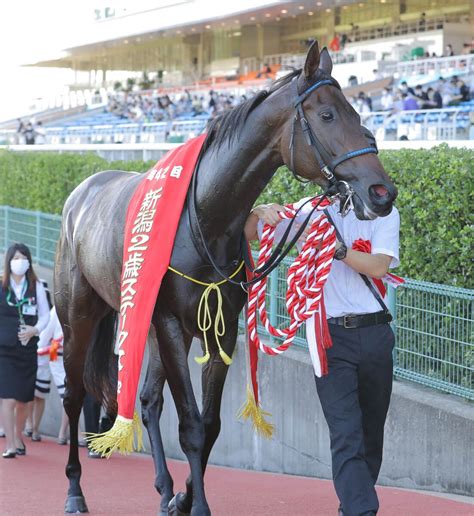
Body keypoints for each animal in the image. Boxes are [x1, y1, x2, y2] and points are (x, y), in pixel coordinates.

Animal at [54, 42, 396, 512]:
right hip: (79, 317)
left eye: (357, 112)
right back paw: (74, 490)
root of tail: (80, 195)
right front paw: (197, 504)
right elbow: (192, 426)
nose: (382, 192)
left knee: (148, 401)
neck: (204, 218)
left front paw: (183, 497)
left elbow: (211, 424)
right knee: (72, 396)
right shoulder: (171, 324)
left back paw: (164, 490)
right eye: (327, 115)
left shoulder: (220, 329)